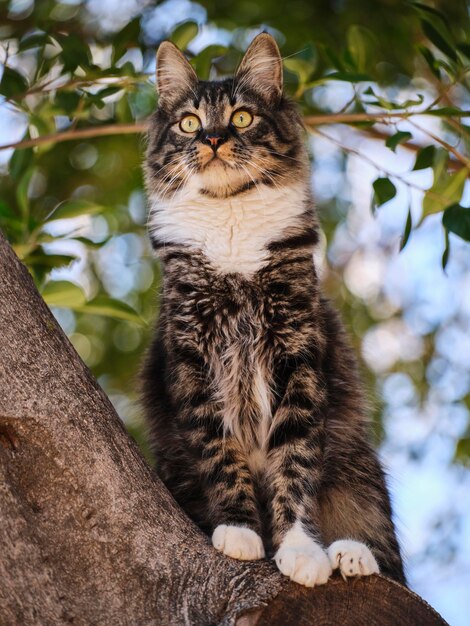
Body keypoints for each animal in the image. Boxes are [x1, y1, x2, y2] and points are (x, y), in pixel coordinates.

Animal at [141, 31, 406, 588]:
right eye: (189, 122)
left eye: (241, 117)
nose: (212, 140)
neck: (231, 224)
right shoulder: (192, 360)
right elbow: (220, 453)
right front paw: (241, 532)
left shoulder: (298, 356)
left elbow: (294, 464)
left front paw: (302, 551)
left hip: (357, 469)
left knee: (384, 550)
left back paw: (351, 555)